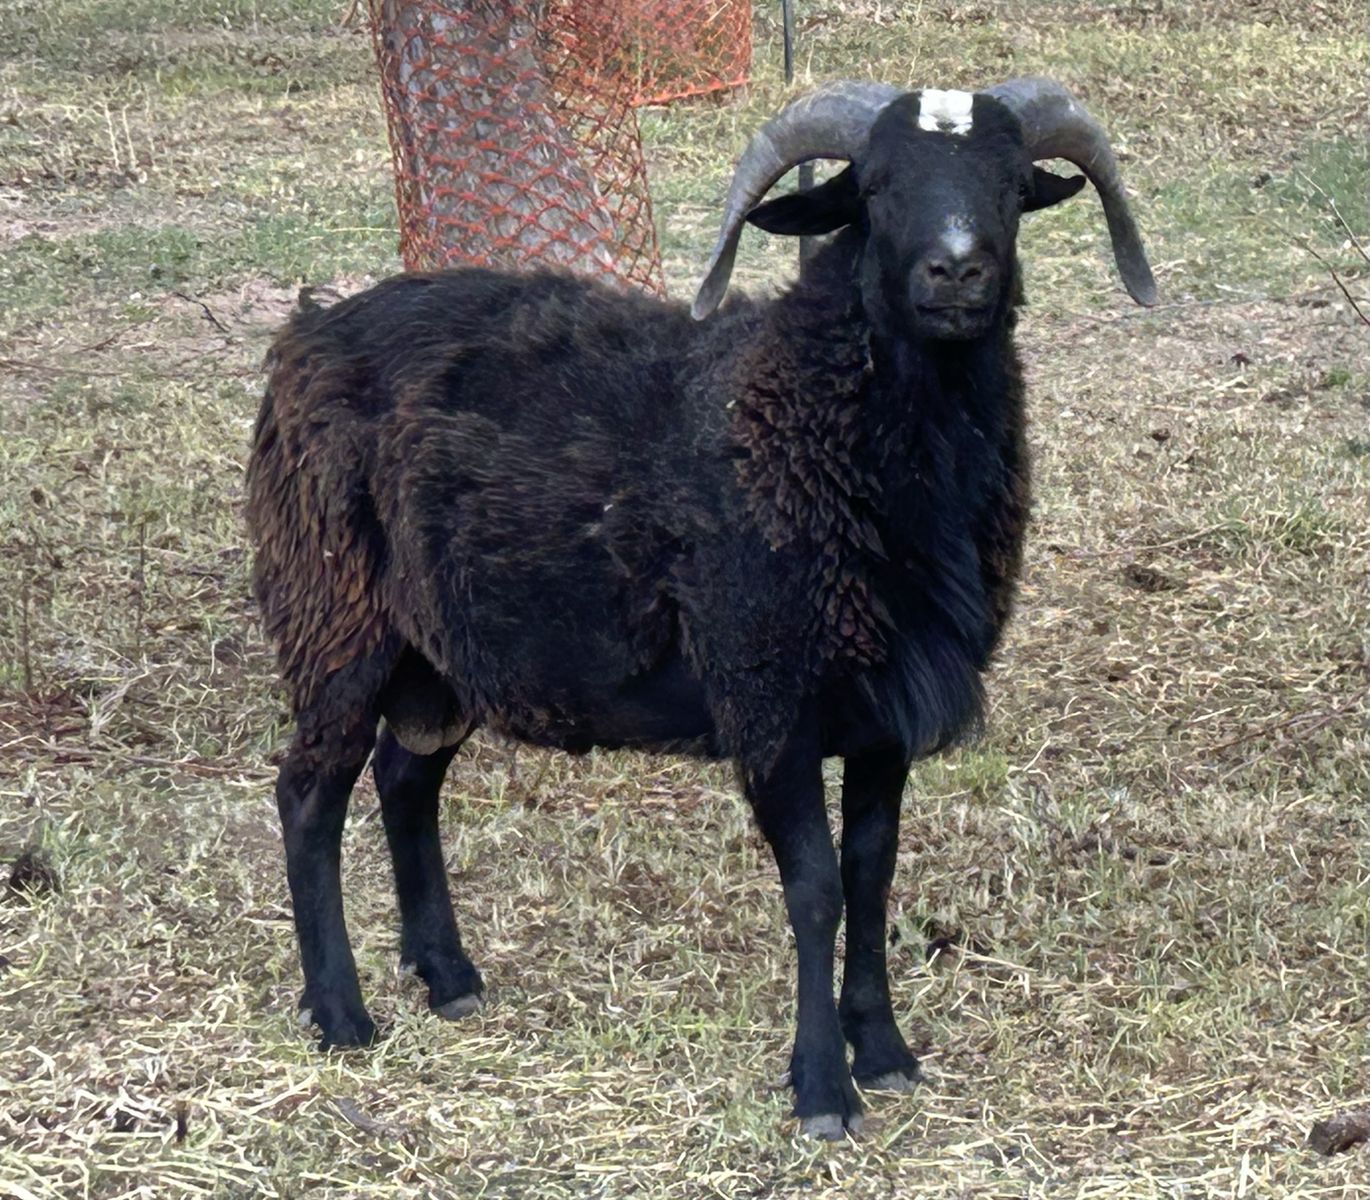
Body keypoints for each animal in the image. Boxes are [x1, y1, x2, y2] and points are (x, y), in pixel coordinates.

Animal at [246, 76, 1156, 1139]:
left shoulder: (883, 713)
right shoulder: (767, 694)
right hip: (336, 616)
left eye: (1013, 188)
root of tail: (304, 337)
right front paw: (822, 1091)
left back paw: (449, 976)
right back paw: (341, 1016)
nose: (959, 271)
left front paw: (885, 1053)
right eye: (875, 188)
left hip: (444, 651)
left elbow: (872, 875)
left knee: (405, 778)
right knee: (309, 795)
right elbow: (815, 892)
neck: (800, 418)